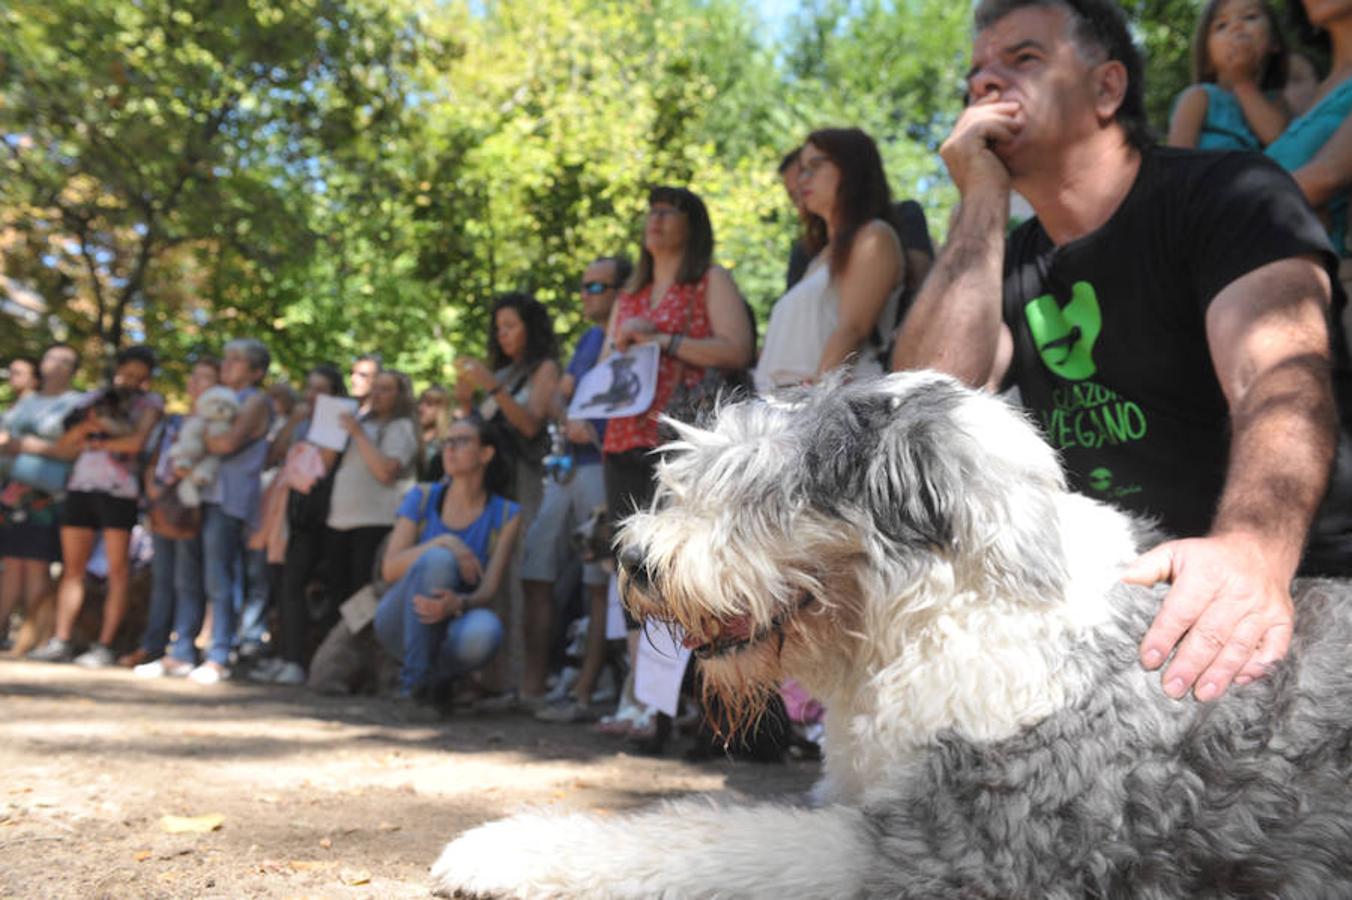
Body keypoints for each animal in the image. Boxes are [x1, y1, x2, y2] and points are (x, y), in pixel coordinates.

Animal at [432, 367, 1352, 891]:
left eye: (765, 491)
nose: (632, 561)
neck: (939, 616)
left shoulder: (950, 851)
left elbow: (713, 840)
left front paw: (500, 850)